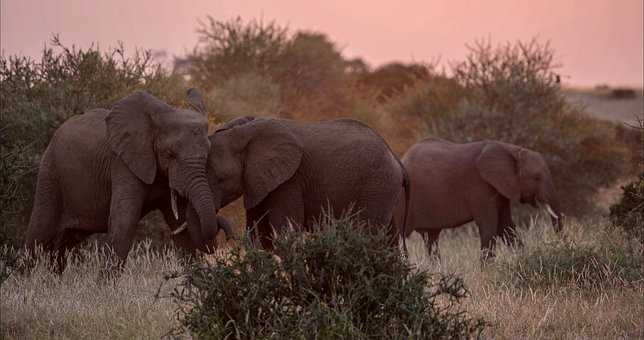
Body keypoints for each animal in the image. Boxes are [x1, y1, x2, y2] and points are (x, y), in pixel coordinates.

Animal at [24, 89, 234, 272]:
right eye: (170, 154)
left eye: (208, 154)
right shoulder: (122, 163)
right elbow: (124, 220)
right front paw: (106, 288)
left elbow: (181, 227)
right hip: (50, 174)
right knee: (39, 234)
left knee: (63, 245)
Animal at [204, 115, 410, 248]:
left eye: (221, 179)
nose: (228, 240)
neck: (244, 131)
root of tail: (396, 158)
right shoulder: (257, 182)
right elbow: (258, 235)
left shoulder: (290, 180)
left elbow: (285, 231)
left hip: (378, 185)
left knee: (367, 234)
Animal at [394, 137, 560, 258]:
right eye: (537, 177)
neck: (510, 149)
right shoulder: (480, 187)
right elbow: (489, 227)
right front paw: (488, 272)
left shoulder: (500, 190)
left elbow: (506, 227)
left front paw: (522, 258)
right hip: (402, 203)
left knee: (431, 239)